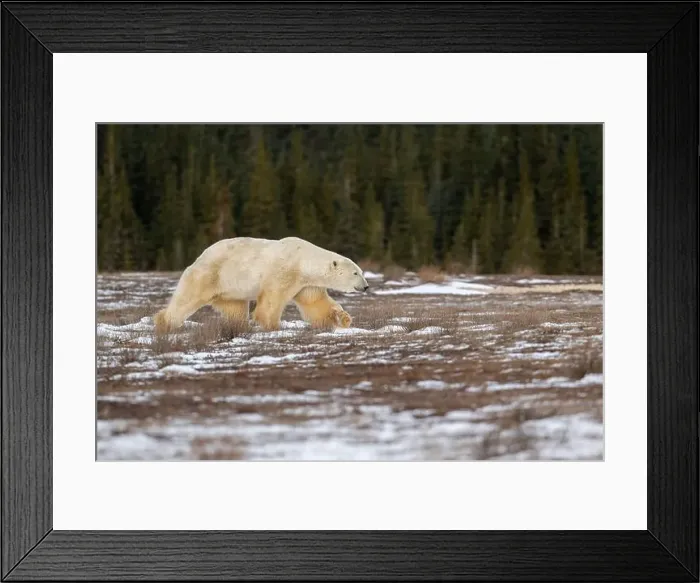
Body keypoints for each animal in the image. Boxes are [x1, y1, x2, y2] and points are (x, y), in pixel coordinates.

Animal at [153, 236, 369, 333]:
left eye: (361, 271)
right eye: (355, 273)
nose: (366, 286)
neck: (303, 261)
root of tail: (198, 258)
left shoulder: (306, 283)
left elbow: (315, 303)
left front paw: (343, 318)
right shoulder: (284, 270)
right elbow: (273, 298)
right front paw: (272, 325)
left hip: (230, 289)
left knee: (236, 309)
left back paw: (240, 327)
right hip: (210, 275)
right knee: (187, 298)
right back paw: (165, 323)